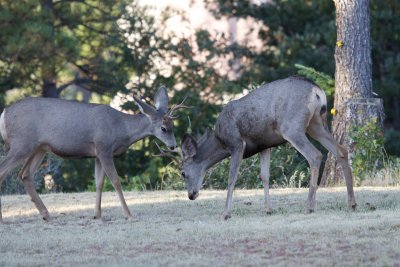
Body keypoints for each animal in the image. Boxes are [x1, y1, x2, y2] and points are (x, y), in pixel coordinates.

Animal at [0, 87, 184, 223]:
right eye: (163, 128)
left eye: (173, 126)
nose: (173, 145)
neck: (121, 130)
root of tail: (4, 113)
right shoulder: (104, 148)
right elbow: (115, 181)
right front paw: (129, 214)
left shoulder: (97, 155)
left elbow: (99, 183)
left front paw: (97, 215)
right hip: (21, 144)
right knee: (4, 171)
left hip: (39, 148)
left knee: (24, 174)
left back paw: (47, 215)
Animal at [178, 77, 356, 220]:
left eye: (183, 173)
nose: (191, 195)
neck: (221, 141)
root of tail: (317, 91)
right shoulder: (264, 145)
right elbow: (264, 175)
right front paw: (268, 210)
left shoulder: (237, 144)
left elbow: (232, 178)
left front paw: (225, 214)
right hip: (316, 124)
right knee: (341, 150)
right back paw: (352, 203)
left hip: (292, 127)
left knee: (316, 155)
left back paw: (309, 207)